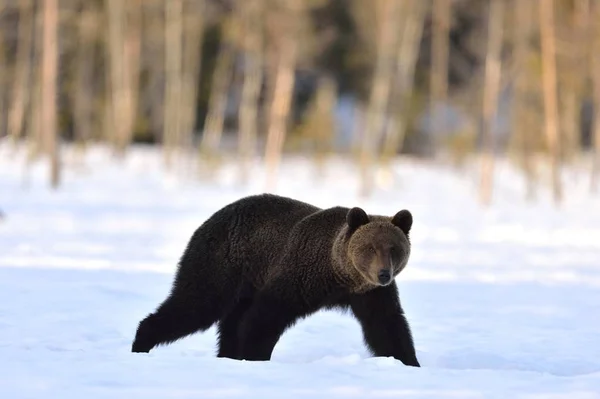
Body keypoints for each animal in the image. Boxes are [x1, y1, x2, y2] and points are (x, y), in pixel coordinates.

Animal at [131, 192, 420, 368]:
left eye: (394, 248)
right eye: (370, 247)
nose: (383, 274)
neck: (339, 275)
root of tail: (212, 217)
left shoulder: (369, 294)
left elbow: (387, 326)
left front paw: (409, 362)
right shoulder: (298, 277)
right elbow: (265, 317)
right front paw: (254, 355)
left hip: (246, 280)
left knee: (228, 318)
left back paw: (226, 354)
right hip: (221, 262)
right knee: (196, 304)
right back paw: (141, 342)